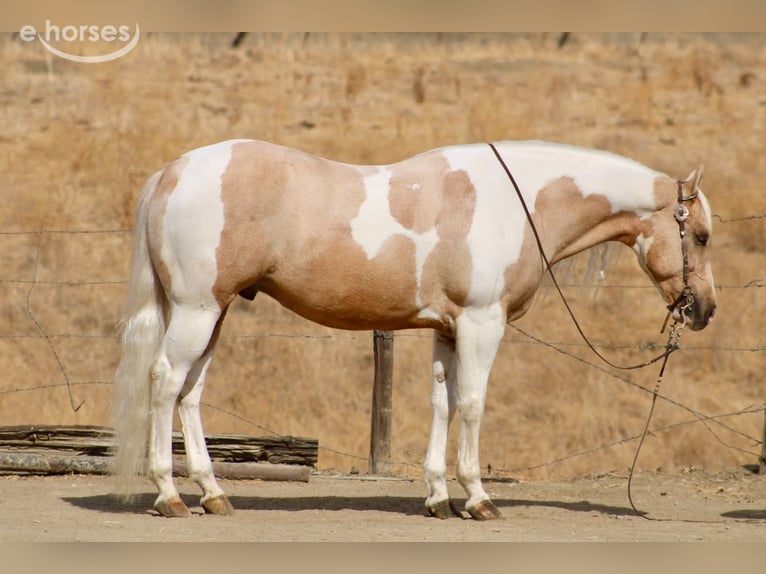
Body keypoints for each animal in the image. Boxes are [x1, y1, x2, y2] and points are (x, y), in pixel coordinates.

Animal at [112, 139, 716, 520]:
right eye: (703, 235)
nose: (705, 310)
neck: (515, 201)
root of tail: (173, 171)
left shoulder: (447, 329)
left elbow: (441, 404)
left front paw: (438, 499)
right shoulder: (481, 323)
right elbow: (471, 404)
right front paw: (477, 499)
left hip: (213, 313)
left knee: (191, 394)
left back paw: (213, 494)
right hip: (197, 310)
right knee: (164, 382)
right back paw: (169, 495)